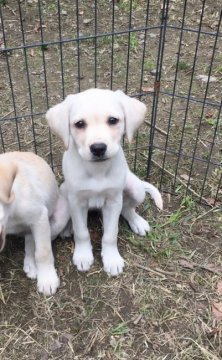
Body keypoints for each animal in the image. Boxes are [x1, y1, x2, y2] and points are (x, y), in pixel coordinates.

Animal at [46, 88, 163, 278]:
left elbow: (110, 234)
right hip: (64, 192)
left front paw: (112, 259)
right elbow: (81, 232)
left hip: (135, 189)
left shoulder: (113, 201)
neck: (97, 171)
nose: (98, 148)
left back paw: (137, 222)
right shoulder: (77, 201)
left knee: (127, 209)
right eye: (79, 124)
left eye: (113, 120)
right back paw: (67, 228)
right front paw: (83, 255)